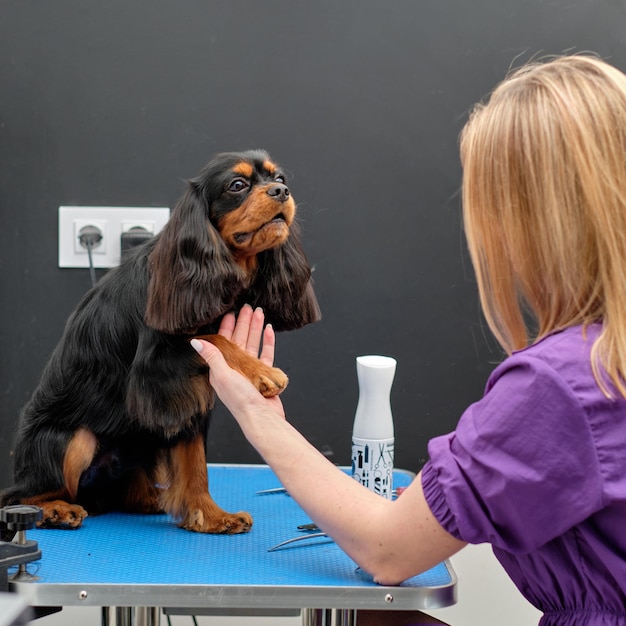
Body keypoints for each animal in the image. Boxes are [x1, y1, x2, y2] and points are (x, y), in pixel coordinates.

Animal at [0, 150, 320, 532]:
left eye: (280, 178)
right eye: (237, 185)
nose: (281, 192)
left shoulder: (188, 396)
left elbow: (194, 463)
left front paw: (211, 516)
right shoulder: (157, 369)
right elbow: (213, 339)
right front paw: (262, 372)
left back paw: (150, 498)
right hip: (75, 440)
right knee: (20, 495)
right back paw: (55, 509)